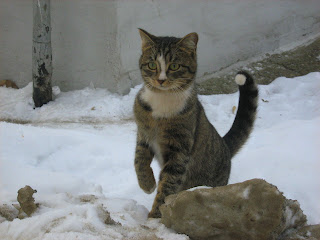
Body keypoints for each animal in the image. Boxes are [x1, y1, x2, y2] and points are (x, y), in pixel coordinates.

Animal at [132, 28, 258, 218]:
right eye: (152, 65)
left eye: (174, 66)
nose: (160, 80)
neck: (162, 101)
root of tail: (224, 146)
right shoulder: (143, 133)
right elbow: (139, 160)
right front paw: (147, 184)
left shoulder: (180, 150)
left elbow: (167, 184)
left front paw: (155, 215)